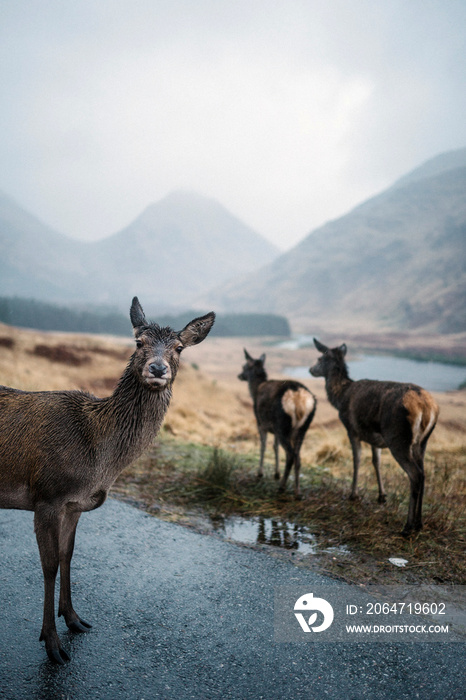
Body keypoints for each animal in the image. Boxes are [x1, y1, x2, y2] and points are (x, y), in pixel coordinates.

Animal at [0, 298, 216, 664]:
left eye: (179, 348)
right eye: (139, 342)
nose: (158, 368)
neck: (99, 460)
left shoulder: (74, 504)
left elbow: (68, 555)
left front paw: (74, 619)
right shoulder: (47, 496)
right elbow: (49, 566)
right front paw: (51, 643)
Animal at [237, 350, 316, 498]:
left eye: (244, 366)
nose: (239, 375)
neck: (255, 391)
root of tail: (298, 398)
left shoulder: (261, 423)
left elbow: (263, 446)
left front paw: (260, 473)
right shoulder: (273, 428)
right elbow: (275, 447)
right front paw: (276, 473)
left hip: (283, 425)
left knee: (291, 455)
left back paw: (282, 487)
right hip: (302, 428)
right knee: (298, 457)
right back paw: (297, 491)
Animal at [310, 340, 436, 536]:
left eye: (320, 358)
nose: (311, 369)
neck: (340, 397)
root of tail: (426, 407)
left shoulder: (352, 429)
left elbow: (357, 460)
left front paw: (353, 494)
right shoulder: (375, 439)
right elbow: (376, 462)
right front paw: (381, 496)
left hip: (398, 438)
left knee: (415, 475)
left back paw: (407, 527)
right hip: (421, 442)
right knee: (423, 473)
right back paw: (419, 523)